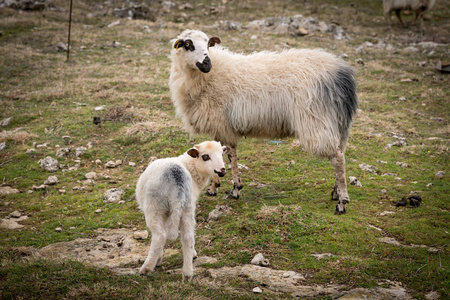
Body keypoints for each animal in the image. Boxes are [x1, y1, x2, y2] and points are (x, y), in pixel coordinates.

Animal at [135, 141, 229, 282]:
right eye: (205, 156)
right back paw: (188, 273)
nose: (221, 170)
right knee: (188, 237)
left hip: (154, 206)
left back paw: (146, 268)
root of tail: (177, 178)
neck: (191, 167)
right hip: (186, 207)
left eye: (221, 154)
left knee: (160, 235)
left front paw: (158, 258)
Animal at [169, 29, 358, 216]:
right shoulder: (221, 127)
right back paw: (335, 192)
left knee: (337, 158)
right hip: (338, 123)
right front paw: (223, 186)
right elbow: (221, 154)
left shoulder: (222, 126)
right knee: (340, 153)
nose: (207, 63)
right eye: (188, 44)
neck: (206, 78)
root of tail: (341, 75)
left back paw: (342, 202)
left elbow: (228, 156)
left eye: (208, 44)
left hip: (316, 121)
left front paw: (226, 189)